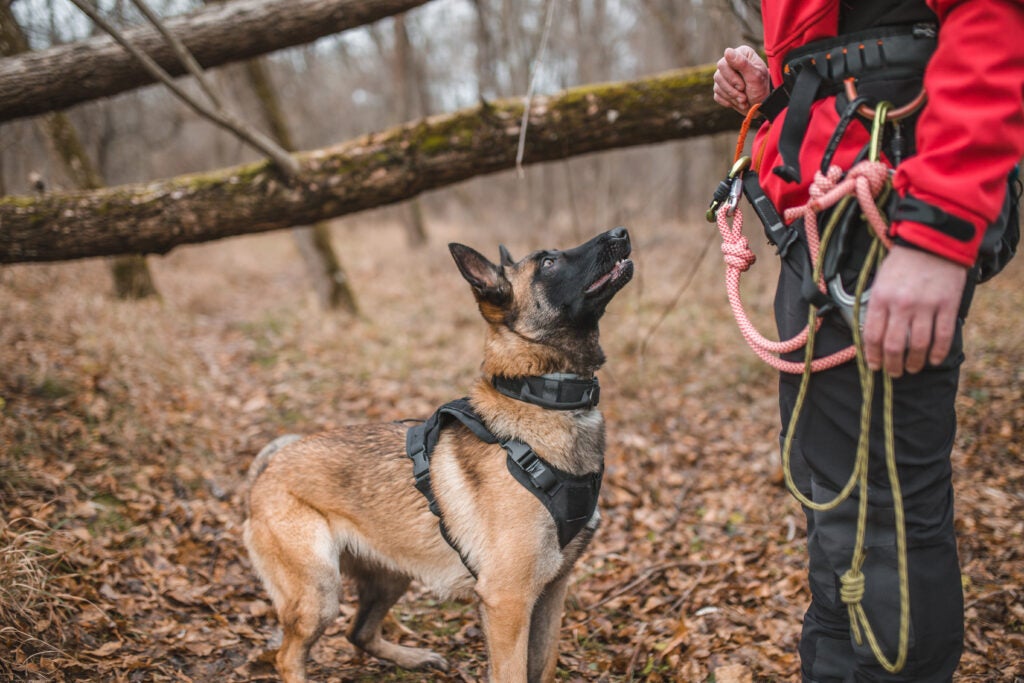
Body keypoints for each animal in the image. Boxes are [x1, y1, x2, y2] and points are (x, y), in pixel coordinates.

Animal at [244, 227, 634, 679]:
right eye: (548, 263)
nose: (620, 233)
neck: (539, 397)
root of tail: (270, 466)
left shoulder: (552, 591)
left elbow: (544, 666)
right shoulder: (508, 601)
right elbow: (514, 673)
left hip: (390, 577)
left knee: (359, 633)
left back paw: (414, 658)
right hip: (319, 595)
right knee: (289, 656)